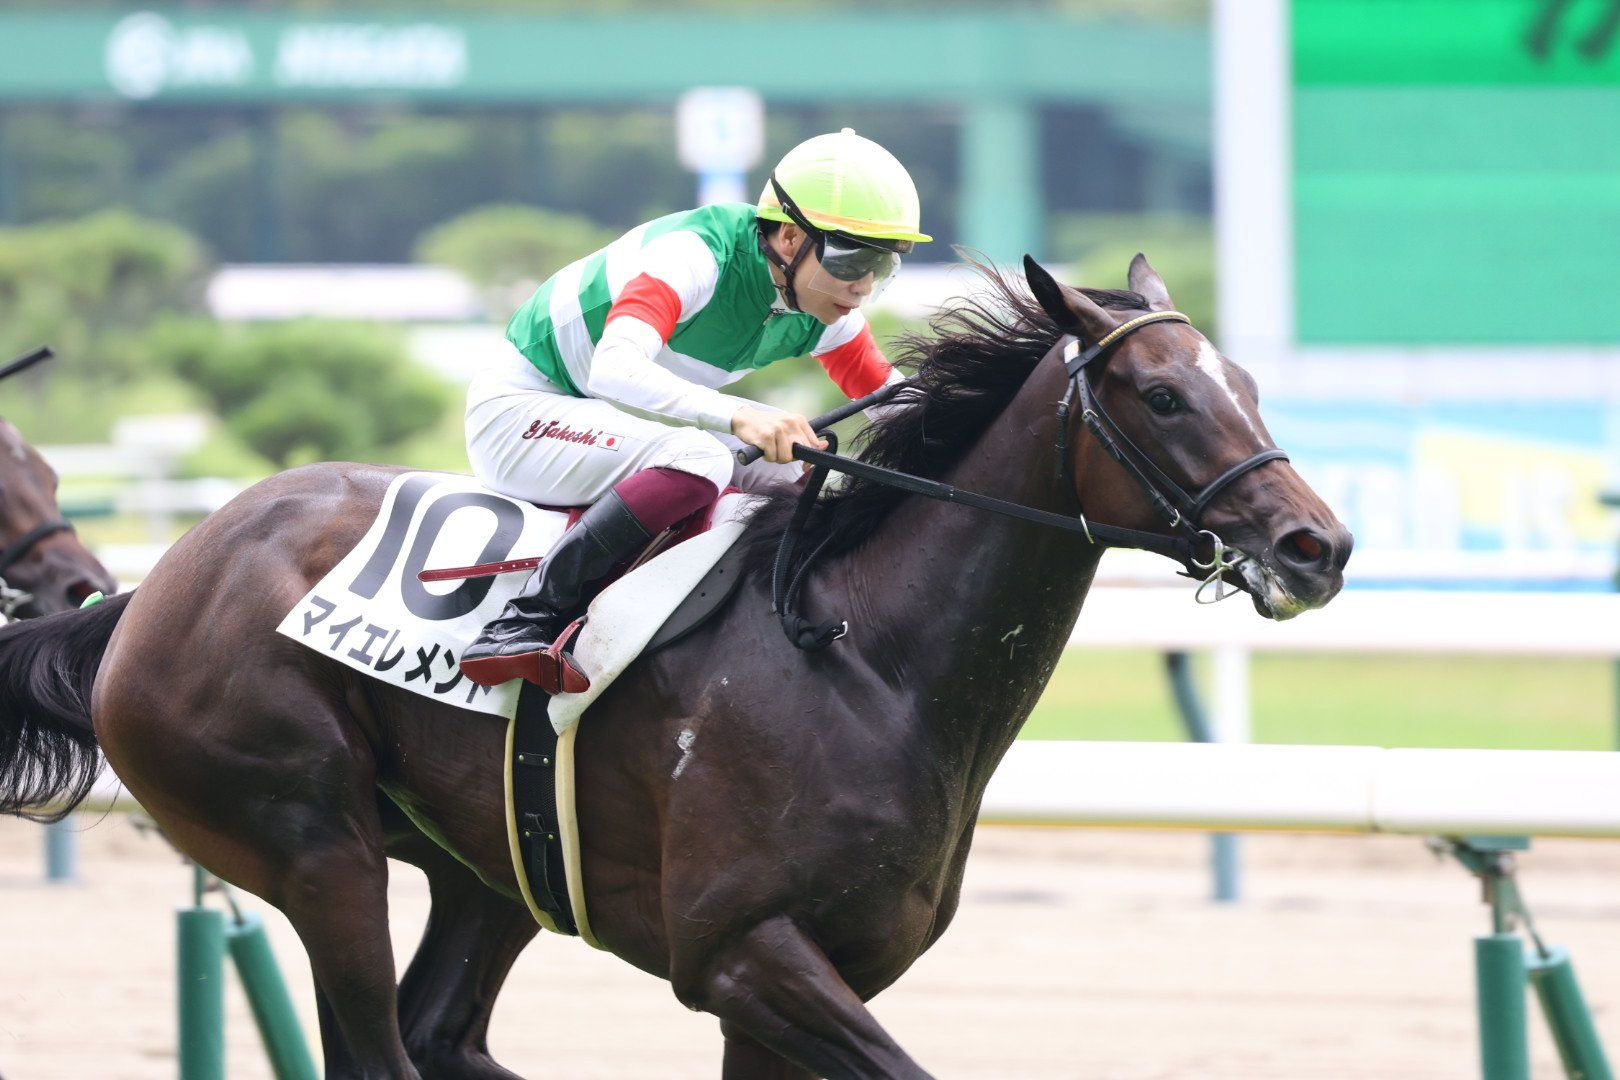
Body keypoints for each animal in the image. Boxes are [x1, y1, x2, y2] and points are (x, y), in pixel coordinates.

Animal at [0, 257, 1341, 1075]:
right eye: (1164, 397)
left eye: (1247, 385)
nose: (1316, 546)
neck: (870, 665)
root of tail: (154, 588)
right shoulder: (742, 953)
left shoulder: (815, 973)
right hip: (311, 845)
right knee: (378, 1038)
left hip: (495, 864)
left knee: (440, 1031)